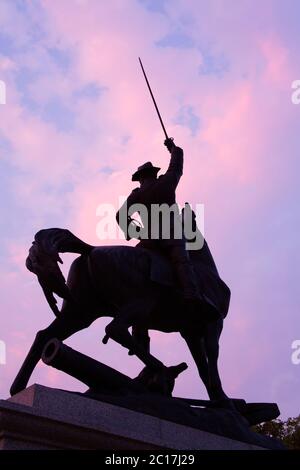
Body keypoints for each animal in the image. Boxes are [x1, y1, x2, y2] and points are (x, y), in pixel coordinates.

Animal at [8, 227, 230, 404]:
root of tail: (91, 250)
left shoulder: (190, 331)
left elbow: (202, 366)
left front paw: (216, 398)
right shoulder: (214, 323)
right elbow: (212, 354)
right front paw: (222, 398)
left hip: (81, 312)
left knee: (44, 335)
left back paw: (17, 388)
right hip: (140, 303)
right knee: (115, 328)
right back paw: (159, 369)